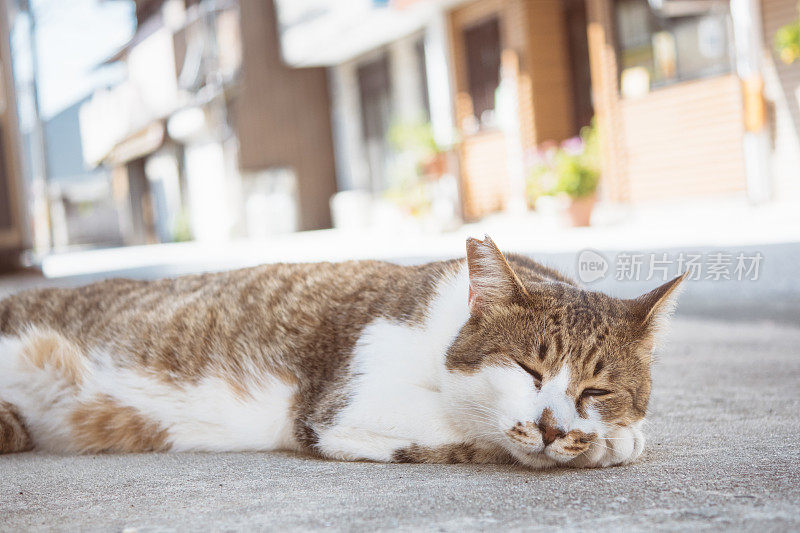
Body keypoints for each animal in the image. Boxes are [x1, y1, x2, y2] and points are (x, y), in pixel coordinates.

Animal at [0, 236, 684, 466]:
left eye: (596, 389)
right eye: (526, 368)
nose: (551, 426)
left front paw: (609, 434)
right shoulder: (346, 405)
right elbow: (477, 426)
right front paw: (610, 443)